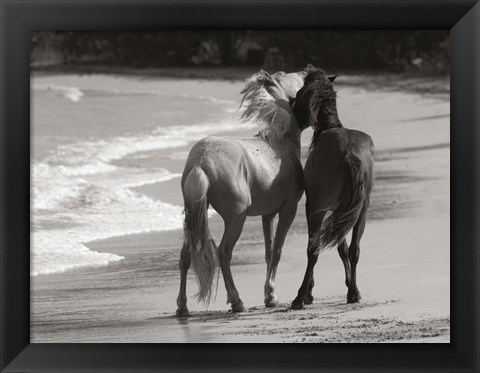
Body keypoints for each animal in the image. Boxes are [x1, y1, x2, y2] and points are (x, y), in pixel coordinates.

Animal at [177, 69, 308, 314]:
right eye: (291, 76)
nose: (307, 70)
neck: (279, 144)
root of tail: (201, 160)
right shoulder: (288, 210)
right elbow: (277, 251)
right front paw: (271, 297)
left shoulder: (268, 214)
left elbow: (268, 252)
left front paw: (269, 295)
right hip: (236, 218)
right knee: (223, 252)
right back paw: (236, 301)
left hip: (194, 216)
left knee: (185, 255)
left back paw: (182, 307)